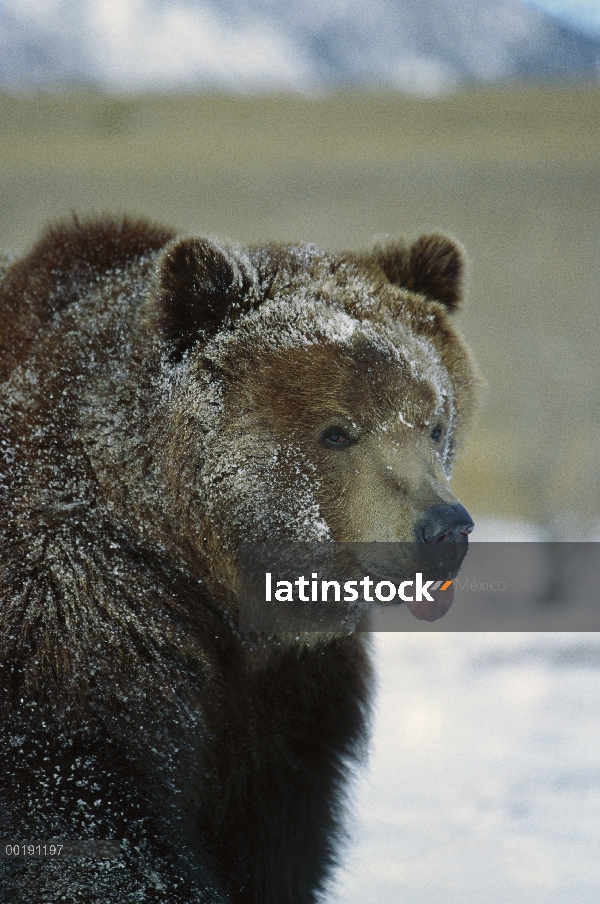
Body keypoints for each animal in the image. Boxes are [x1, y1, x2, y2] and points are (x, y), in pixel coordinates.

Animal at [0, 215, 478, 900]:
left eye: (434, 423)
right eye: (337, 430)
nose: (444, 530)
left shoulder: (289, 698)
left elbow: (274, 832)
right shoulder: (80, 613)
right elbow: (88, 810)